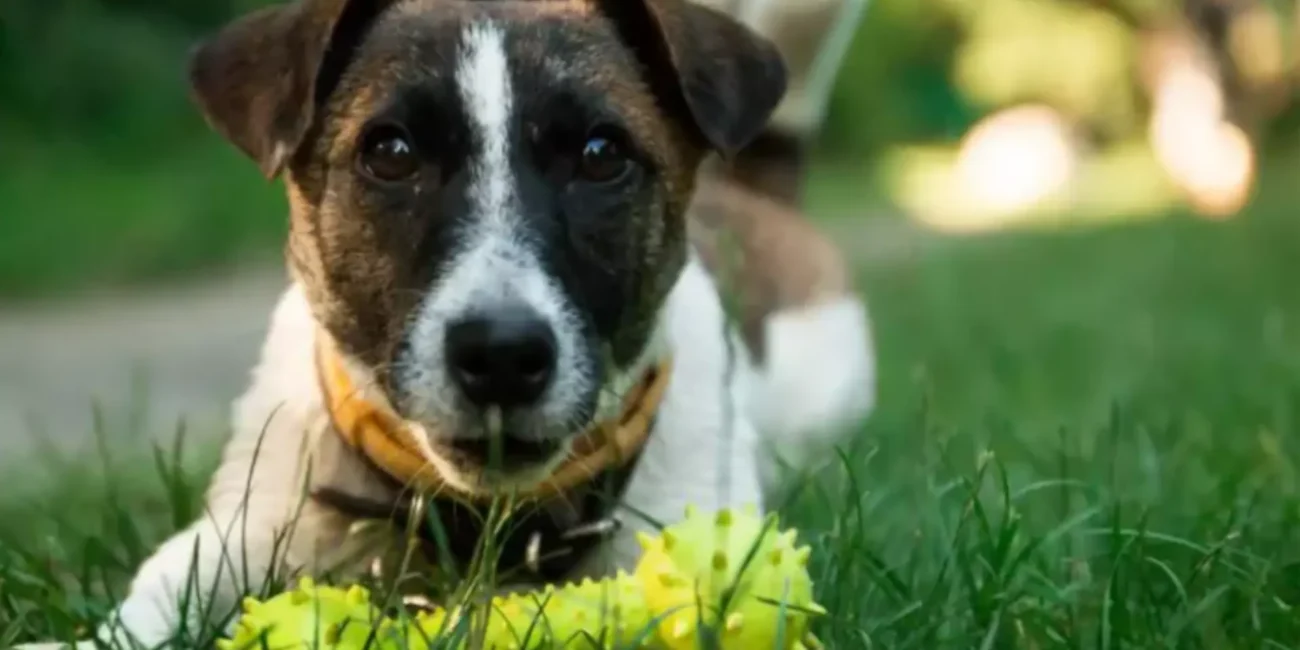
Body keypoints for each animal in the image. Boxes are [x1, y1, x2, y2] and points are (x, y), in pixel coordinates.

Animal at [20, 0, 873, 647]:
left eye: (603, 154)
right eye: (390, 152)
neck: (476, 516)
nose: (501, 354)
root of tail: (758, 182)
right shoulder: (238, 530)